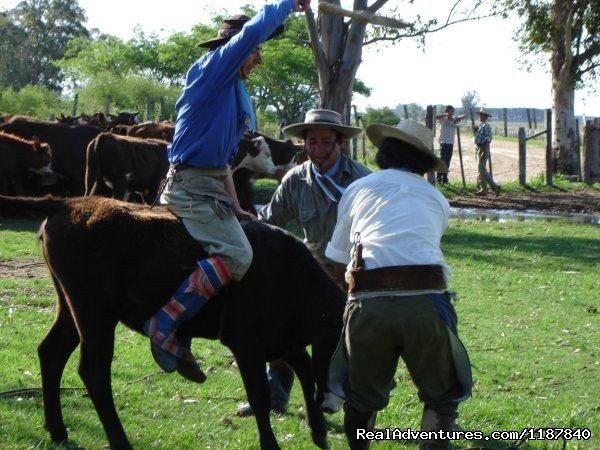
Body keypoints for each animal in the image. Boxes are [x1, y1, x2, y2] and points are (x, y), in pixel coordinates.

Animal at [0, 194, 346, 450]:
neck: (288, 275)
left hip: (73, 309)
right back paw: (119, 440)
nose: (338, 403)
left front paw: (319, 433)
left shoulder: (283, 341)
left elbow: (306, 372)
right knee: (94, 371)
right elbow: (260, 396)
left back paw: (58, 430)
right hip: (94, 313)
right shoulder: (246, 344)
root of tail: (68, 205)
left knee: (52, 352)